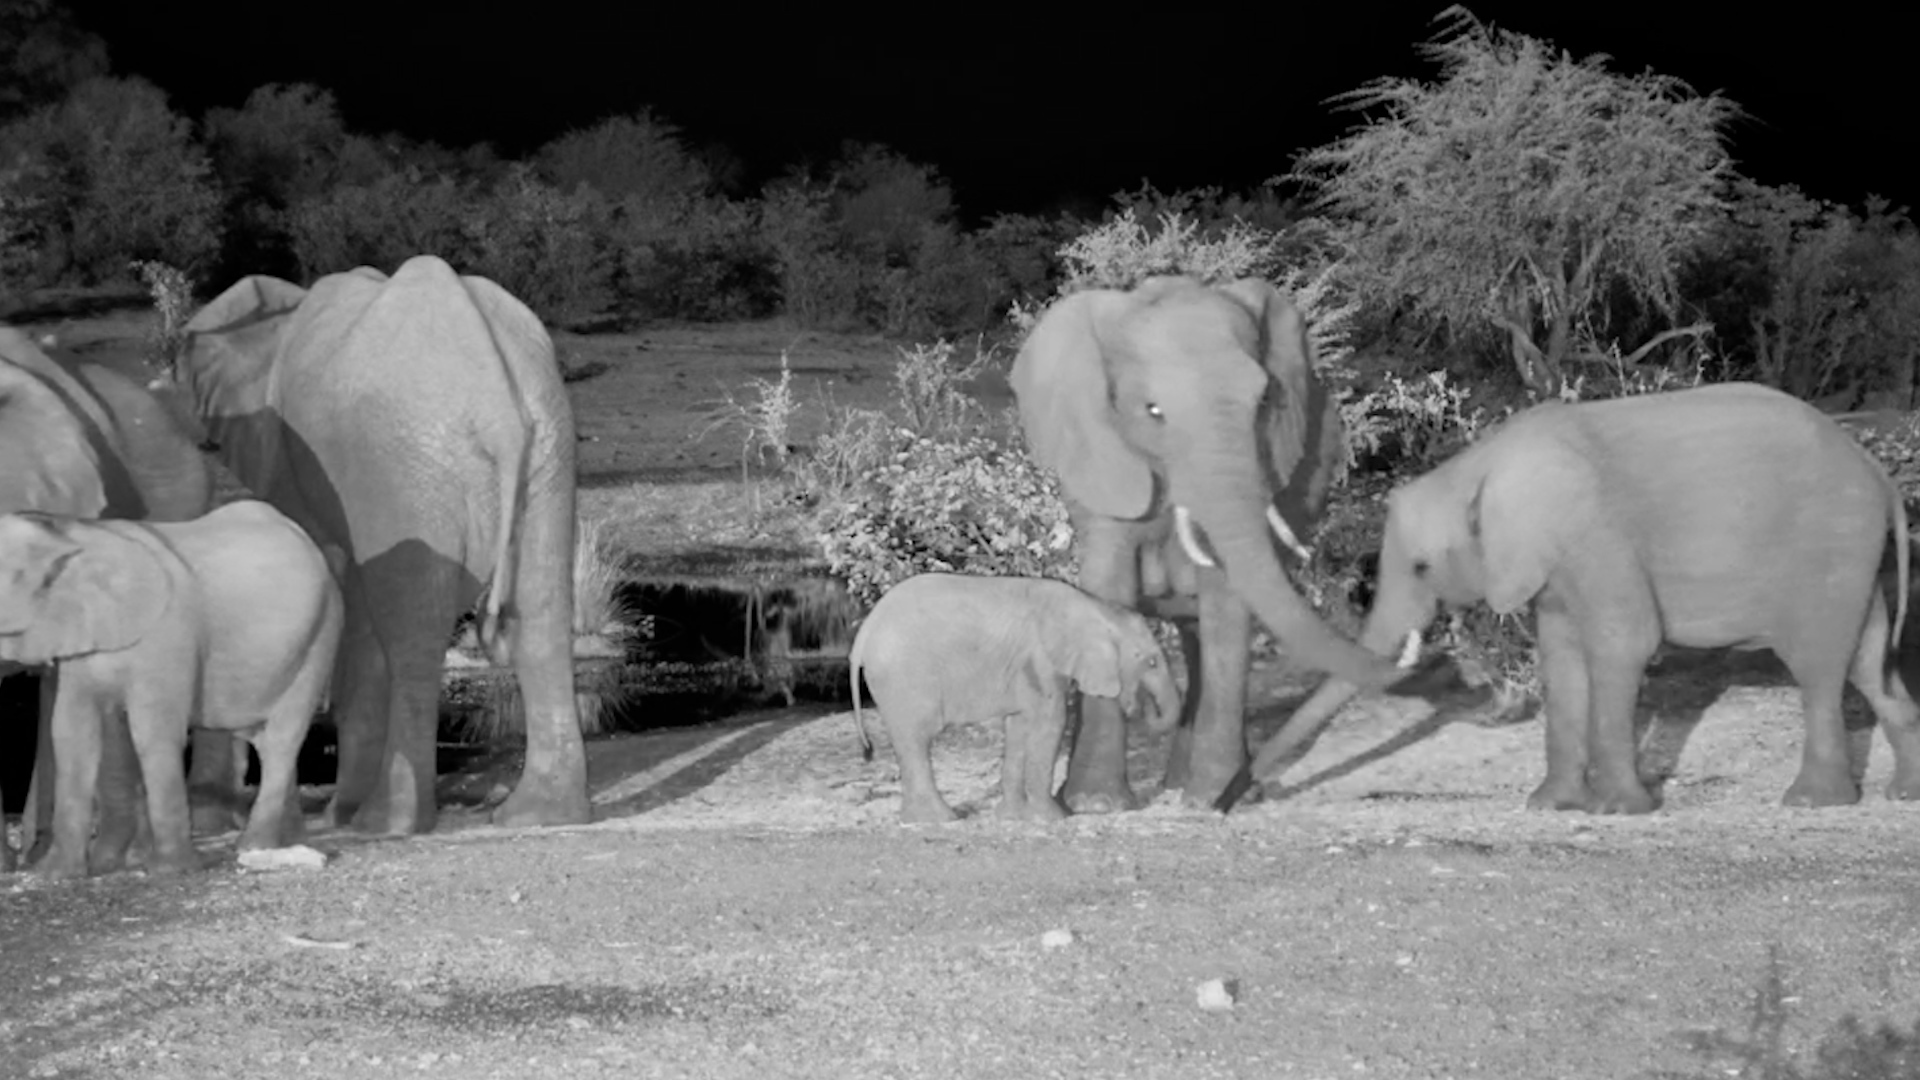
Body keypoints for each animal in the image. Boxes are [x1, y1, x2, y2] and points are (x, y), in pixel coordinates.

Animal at [0, 501, 343, 878]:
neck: (70, 534)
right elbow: (74, 732)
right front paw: (58, 874)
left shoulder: (168, 636)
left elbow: (153, 732)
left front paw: (171, 869)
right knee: (261, 737)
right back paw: (290, 842)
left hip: (322, 637)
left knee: (282, 738)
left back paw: (253, 847)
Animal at [176, 255, 589, 836]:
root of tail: (497, 407)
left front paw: (333, 815)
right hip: (547, 443)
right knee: (540, 613)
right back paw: (538, 815)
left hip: (403, 464)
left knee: (412, 630)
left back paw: (386, 822)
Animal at [848, 573, 1184, 823]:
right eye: (1151, 662)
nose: (1136, 706)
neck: (1094, 606)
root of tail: (864, 632)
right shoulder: (1041, 660)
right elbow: (1051, 723)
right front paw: (1053, 818)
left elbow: (1019, 727)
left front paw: (1012, 817)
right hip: (905, 677)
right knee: (918, 737)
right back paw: (943, 819)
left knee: (909, 742)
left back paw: (919, 819)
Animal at [1010, 276, 1438, 812]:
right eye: (1152, 411)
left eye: (1265, 401)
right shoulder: (1102, 466)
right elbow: (1108, 588)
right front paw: (1094, 805)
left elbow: (1227, 612)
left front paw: (1210, 799)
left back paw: (1185, 788)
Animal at [1217, 381, 1920, 816]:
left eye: (1419, 566)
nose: (1240, 799)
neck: (1482, 465)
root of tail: (1879, 473)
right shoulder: (1550, 563)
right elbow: (1562, 661)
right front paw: (1548, 807)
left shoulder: (1596, 535)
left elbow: (1623, 643)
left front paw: (1617, 811)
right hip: (1854, 556)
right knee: (1871, 665)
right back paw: (1901, 796)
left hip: (1827, 547)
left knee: (1819, 668)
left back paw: (1812, 802)